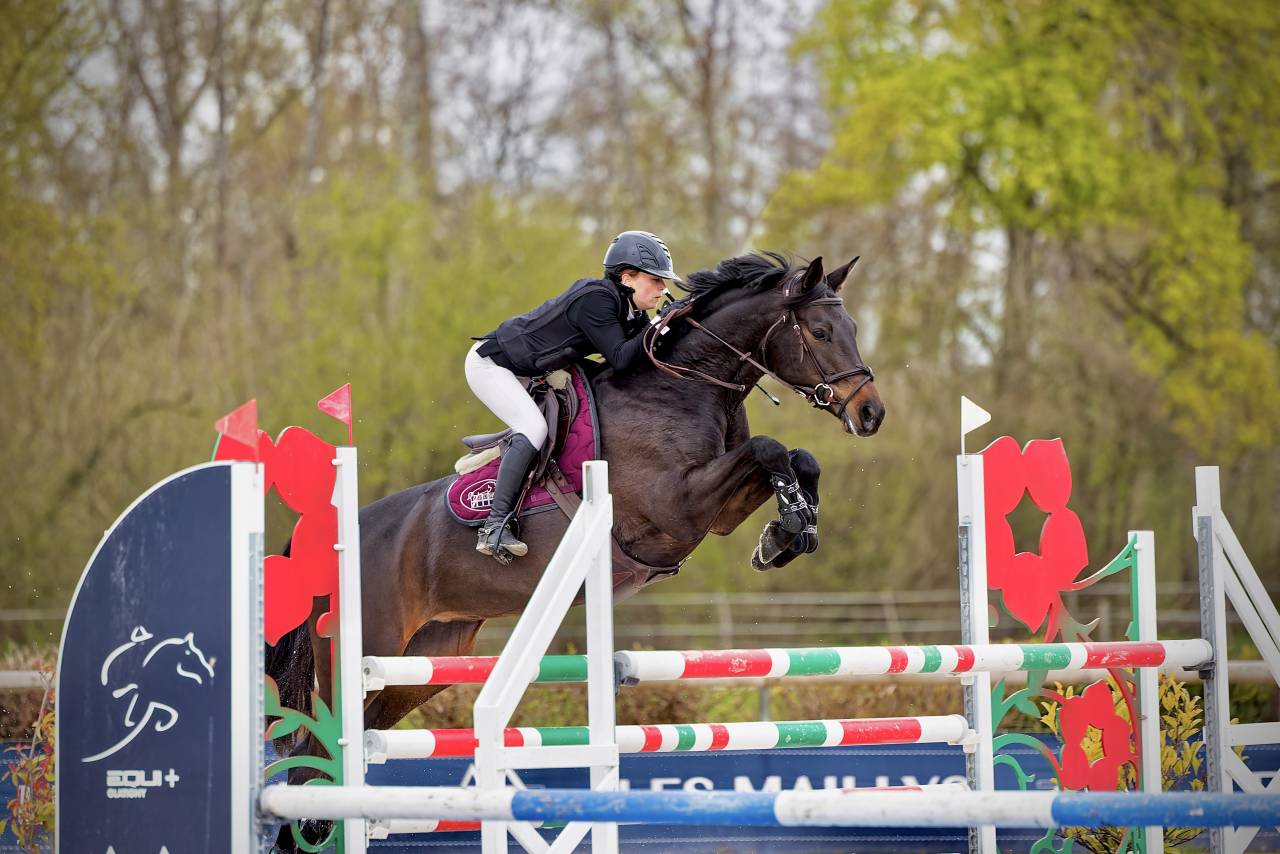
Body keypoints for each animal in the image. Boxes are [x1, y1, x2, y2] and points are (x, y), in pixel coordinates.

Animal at [267, 251, 884, 848]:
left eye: (854, 327)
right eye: (822, 332)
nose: (871, 414)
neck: (683, 387)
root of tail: (324, 543)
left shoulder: (715, 512)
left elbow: (797, 457)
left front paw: (788, 533)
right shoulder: (676, 505)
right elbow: (770, 447)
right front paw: (791, 524)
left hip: (420, 663)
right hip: (363, 652)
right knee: (312, 764)